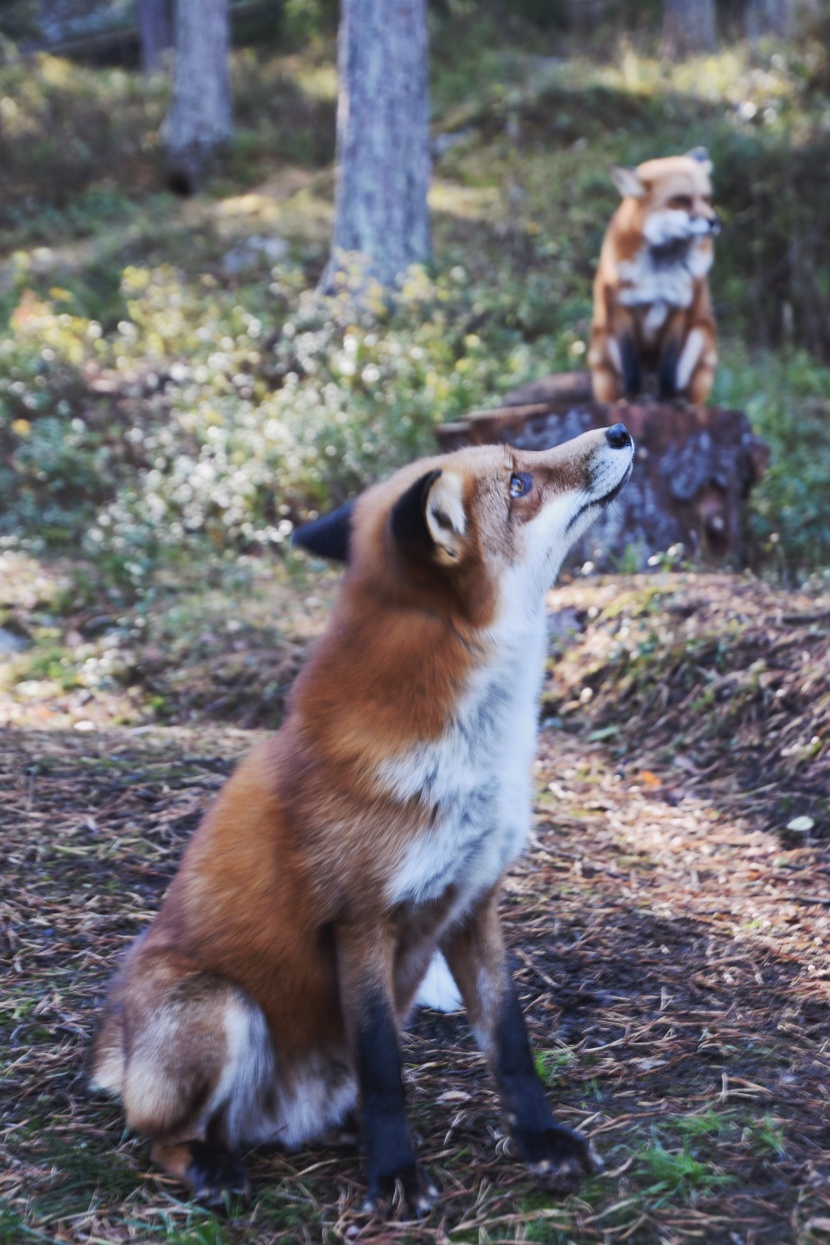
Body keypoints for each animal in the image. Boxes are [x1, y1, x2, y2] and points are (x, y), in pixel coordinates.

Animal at [92, 423, 637, 1210]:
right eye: (519, 483)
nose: (621, 430)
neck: (475, 751)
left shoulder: (474, 901)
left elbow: (511, 1045)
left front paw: (541, 1140)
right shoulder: (361, 921)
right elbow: (384, 1067)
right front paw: (396, 1174)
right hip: (220, 1006)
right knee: (159, 1133)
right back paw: (209, 1165)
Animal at [589, 148, 721, 405]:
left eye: (706, 199)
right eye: (681, 200)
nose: (713, 222)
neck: (660, 272)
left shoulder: (679, 307)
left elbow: (668, 367)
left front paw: (668, 398)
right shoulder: (622, 305)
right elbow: (630, 366)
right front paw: (631, 398)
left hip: (700, 337)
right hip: (602, 348)